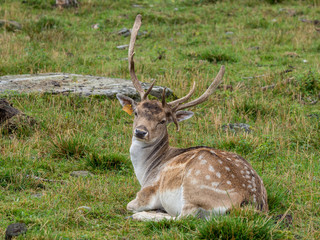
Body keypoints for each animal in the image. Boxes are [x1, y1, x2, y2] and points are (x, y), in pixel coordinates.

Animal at [116, 14, 268, 221]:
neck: (147, 171)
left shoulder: (148, 190)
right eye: (137, 112)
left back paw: (145, 215)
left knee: (184, 216)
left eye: (162, 121)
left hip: (195, 187)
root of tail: (247, 204)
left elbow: (130, 204)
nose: (140, 132)